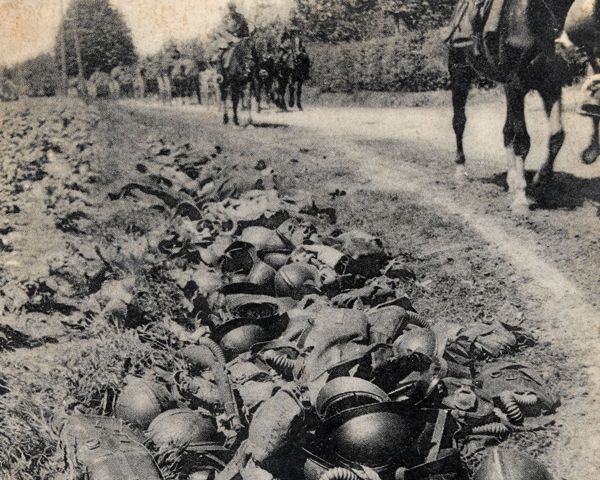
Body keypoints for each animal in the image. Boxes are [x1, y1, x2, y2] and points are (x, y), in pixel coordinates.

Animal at [446, 0, 576, 212]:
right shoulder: (517, 84)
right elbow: (522, 141)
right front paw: (521, 198)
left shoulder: (550, 84)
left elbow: (557, 136)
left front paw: (538, 180)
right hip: (460, 73)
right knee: (459, 123)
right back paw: (460, 172)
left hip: (506, 86)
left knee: (507, 132)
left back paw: (512, 179)